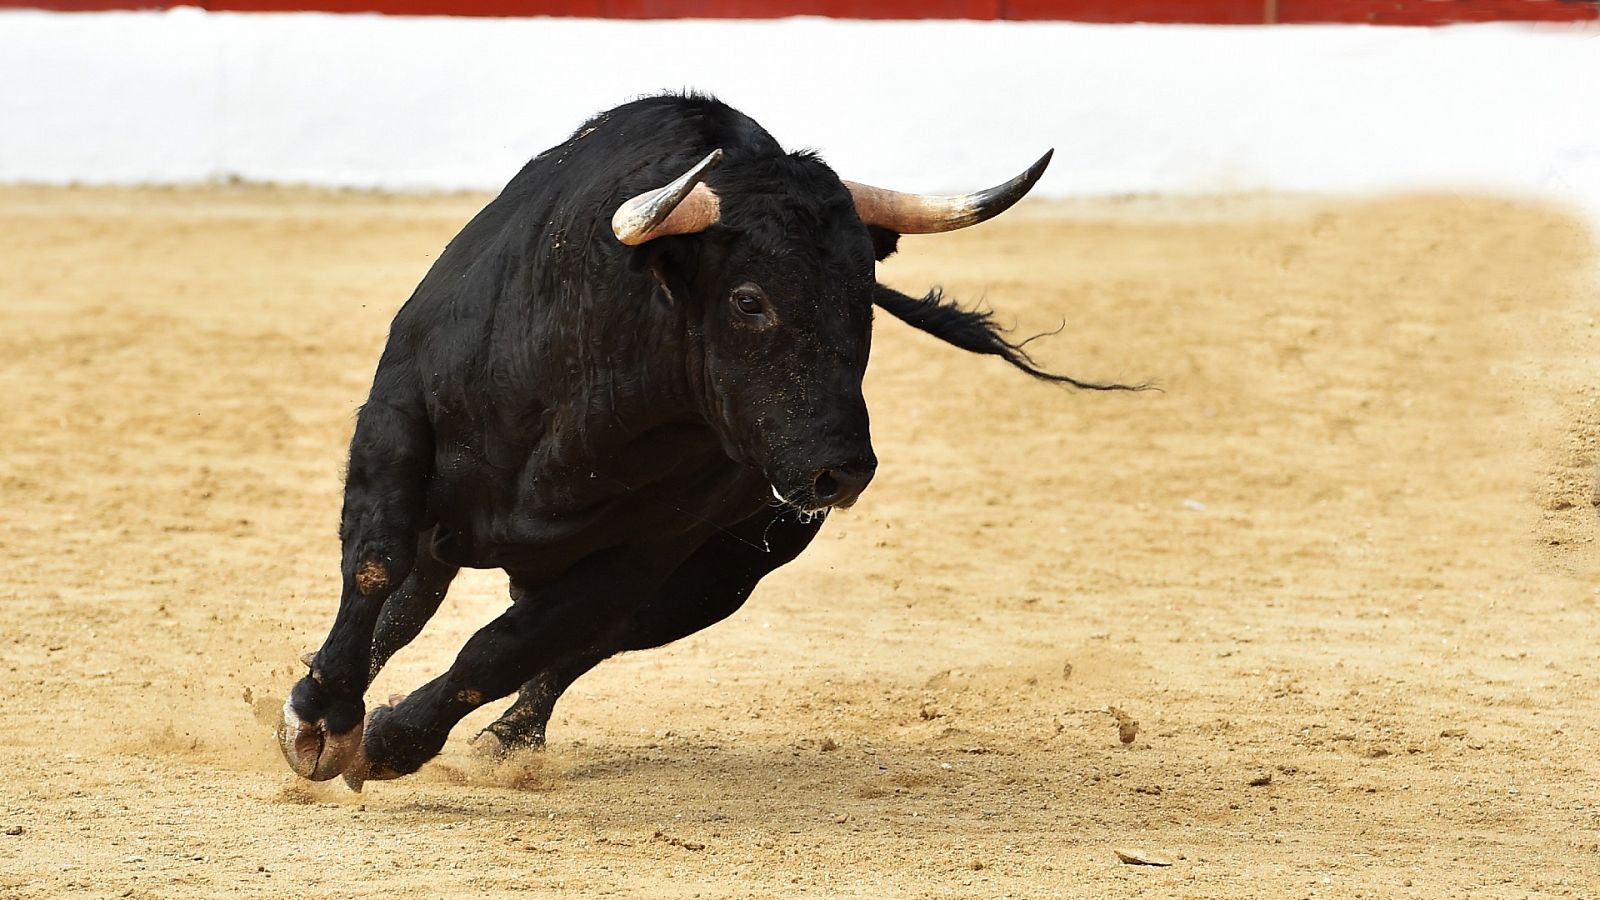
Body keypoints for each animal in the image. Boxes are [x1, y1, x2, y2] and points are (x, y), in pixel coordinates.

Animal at [281, 92, 1145, 784]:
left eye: (864, 296)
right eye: (749, 299)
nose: (842, 472)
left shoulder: (649, 551)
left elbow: (504, 649)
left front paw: (391, 740)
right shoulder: (397, 418)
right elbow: (374, 568)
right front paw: (320, 717)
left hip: (713, 583)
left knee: (579, 643)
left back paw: (507, 741)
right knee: (412, 600)